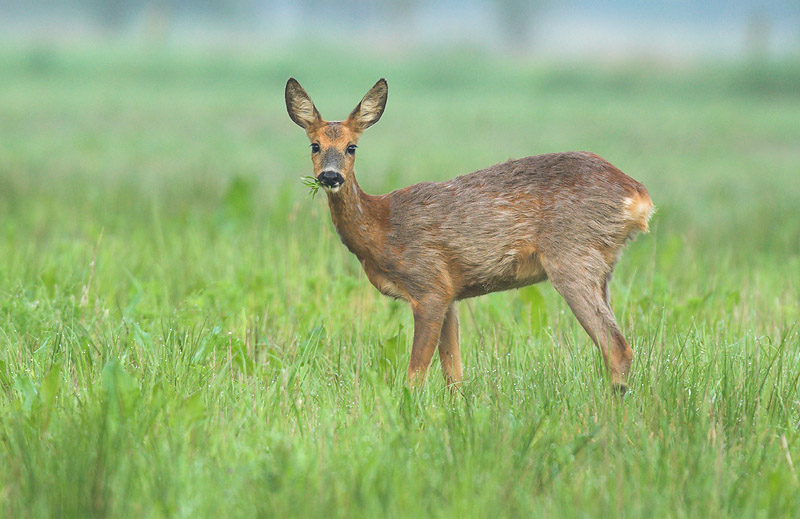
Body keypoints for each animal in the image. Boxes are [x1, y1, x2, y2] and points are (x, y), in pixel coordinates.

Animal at [284, 77, 652, 394]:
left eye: (352, 147)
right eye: (315, 145)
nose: (330, 177)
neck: (381, 228)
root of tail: (639, 196)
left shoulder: (429, 285)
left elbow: (415, 375)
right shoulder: (451, 295)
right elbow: (454, 375)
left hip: (572, 257)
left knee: (618, 347)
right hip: (601, 267)